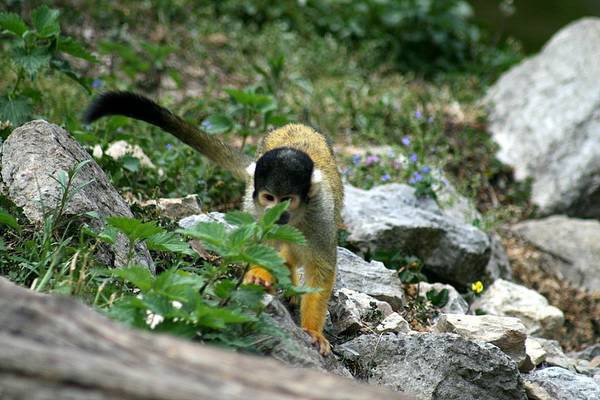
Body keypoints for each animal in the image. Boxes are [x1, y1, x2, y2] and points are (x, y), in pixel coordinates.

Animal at [86, 92, 344, 354]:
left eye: (287, 200)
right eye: (269, 197)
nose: (276, 213)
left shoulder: (319, 212)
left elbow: (322, 268)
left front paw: (313, 331)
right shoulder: (257, 211)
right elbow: (258, 250)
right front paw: (259, 275)